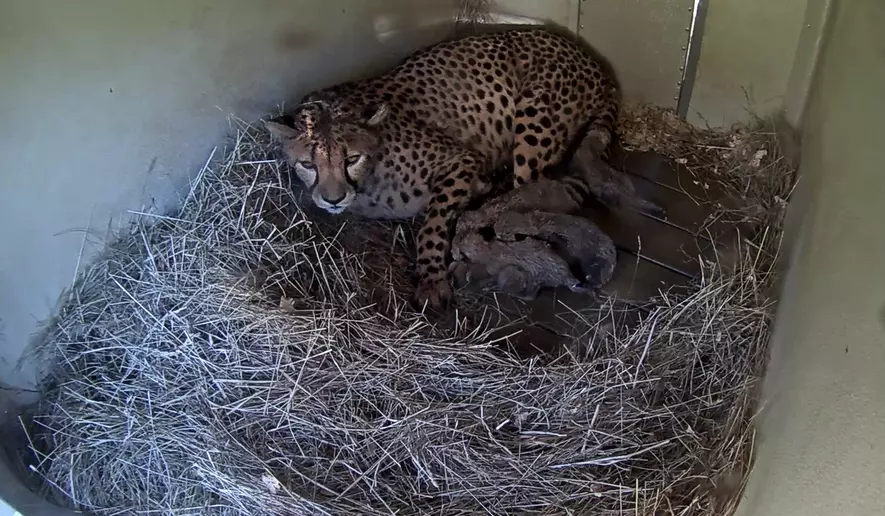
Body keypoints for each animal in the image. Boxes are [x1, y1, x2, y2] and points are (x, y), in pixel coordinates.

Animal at [264, 27, 654, 309]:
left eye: (351, 159)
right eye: (307, 164)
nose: (332, 199)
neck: (369, 183)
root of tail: (593, 61)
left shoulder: (459, 160)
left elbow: (433, 223)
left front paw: (432, 279)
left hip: (533, 121)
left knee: (530, 188)